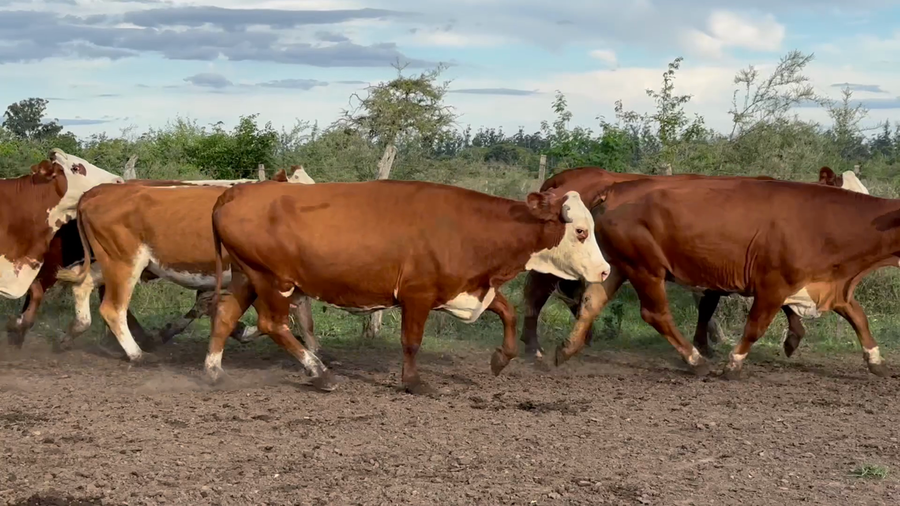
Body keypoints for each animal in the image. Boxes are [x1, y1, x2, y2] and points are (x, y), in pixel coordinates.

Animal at [205, 180, 610, 394]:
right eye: (580, 230)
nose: (605, 270)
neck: (467, 227)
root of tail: (238, 191)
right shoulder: (418, 294)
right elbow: (412, 341)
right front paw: (413, 382)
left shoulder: (466, 288)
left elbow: (507, 312)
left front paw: (500, 359)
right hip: (273, 280)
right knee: (273, 324)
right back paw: (320, 373)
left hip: (247, 276)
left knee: (225, 314)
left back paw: (215, 371)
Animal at [552, 175, 900, 379]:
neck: (824, 222)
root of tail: (616, 189)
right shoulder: (772, 285)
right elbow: (755, 326)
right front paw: (734, 362)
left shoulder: (829, 287)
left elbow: (858, 317)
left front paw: (876, 360)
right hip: (644, 267)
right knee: (655, 314)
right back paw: (694, 359)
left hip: (617, 265)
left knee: (590, 302)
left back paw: (567, 348)